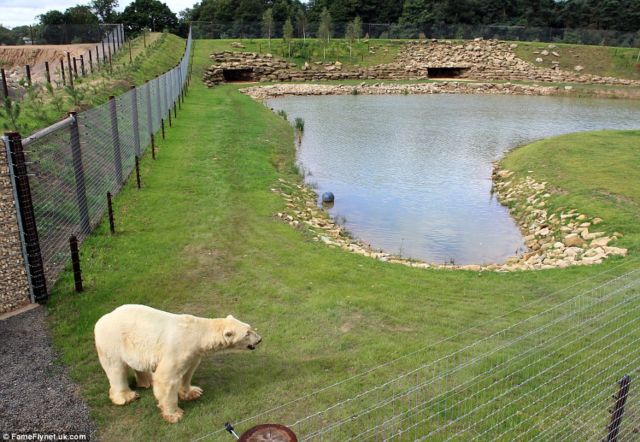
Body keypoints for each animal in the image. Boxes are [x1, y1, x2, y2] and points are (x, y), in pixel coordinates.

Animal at [93, 304, 262, 422]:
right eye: (247, 334)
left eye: (250, 327)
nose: (260, 339)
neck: (197, 332)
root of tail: (102, 319)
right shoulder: (177, 349)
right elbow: (165, 379)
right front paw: (174, 414)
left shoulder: (193, 353)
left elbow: (188, 371)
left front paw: (193, 392)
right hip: (112, 341)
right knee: (116, 369)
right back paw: (126, 397)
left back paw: (146, 381)